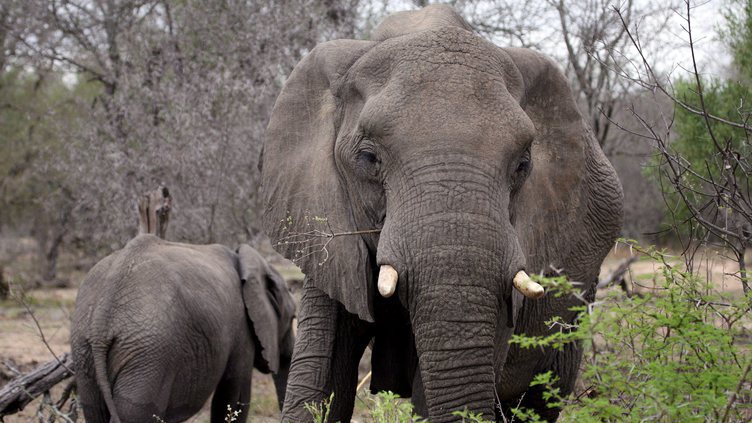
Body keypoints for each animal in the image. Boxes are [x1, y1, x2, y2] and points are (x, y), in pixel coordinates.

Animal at [70, 235, 296, 423]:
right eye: (293, 317)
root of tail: (102, 317)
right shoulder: (241, 327)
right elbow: (233, 395)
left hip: (86, 353)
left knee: (94, 411)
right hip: (149, 355)